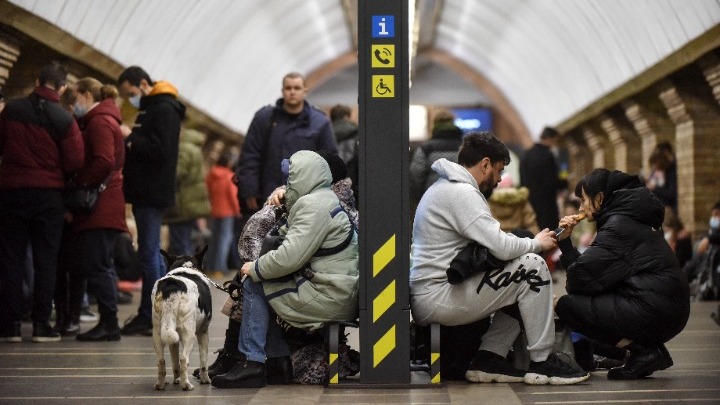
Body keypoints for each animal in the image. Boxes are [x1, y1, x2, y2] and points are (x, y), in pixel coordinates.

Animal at [150, 245, 210, 390]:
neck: (185, 266)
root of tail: (171, 287)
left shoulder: (174, 341)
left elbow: (174, 363)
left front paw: (176, 380)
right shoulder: (203, 332)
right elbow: (203, 361)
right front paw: (205, 379)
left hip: (159, 332)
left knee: (161, 361)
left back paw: (161, 384)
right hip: (189, 334)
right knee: (184, 359)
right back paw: (186, 385)